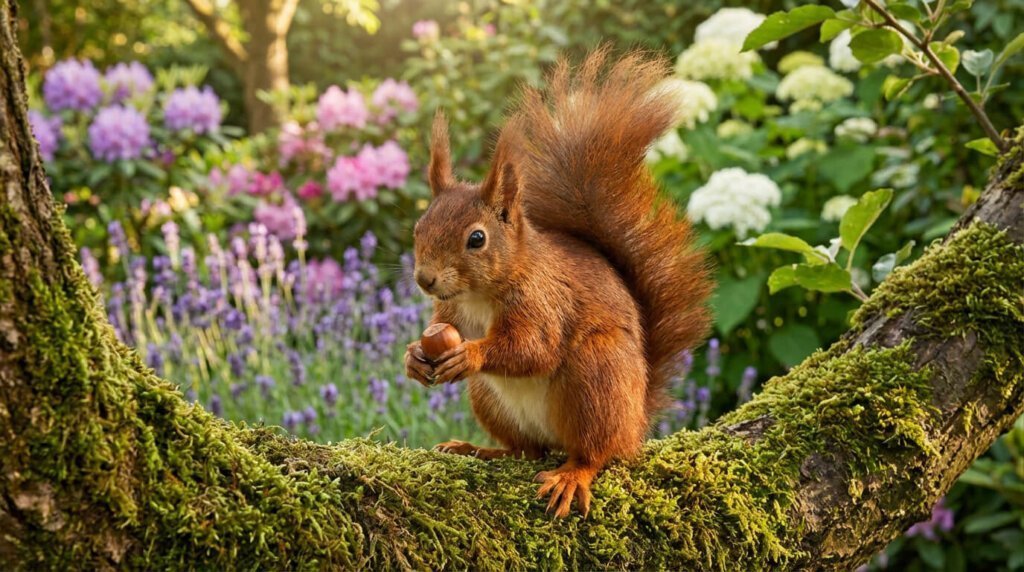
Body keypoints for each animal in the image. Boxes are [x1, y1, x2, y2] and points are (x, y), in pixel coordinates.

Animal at [404, 48, 712, 518]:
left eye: (476, 239)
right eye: (419, 227)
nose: (425, 278)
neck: (479, 295)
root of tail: (637, 423)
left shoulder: (543, 301)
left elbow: (533, 347)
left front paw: (472, 353)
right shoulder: (449, 310)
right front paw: (413, 357)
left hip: (596, 378)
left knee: (595, 452)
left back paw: (572, 475)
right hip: (491, 400)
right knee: (526, 450)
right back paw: (479, 450)